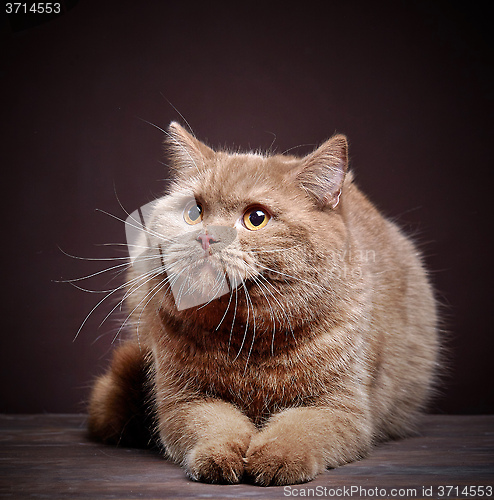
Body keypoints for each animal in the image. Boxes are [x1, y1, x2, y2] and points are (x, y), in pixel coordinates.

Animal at [87, 123, 438, 486]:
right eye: (194, 212)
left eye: (256, 218)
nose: (206, 237)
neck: (246, 337)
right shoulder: (184, 400)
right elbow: (213, 423)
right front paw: (219, 455)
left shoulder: (341, 408)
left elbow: (299, 430)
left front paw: (277, 457)